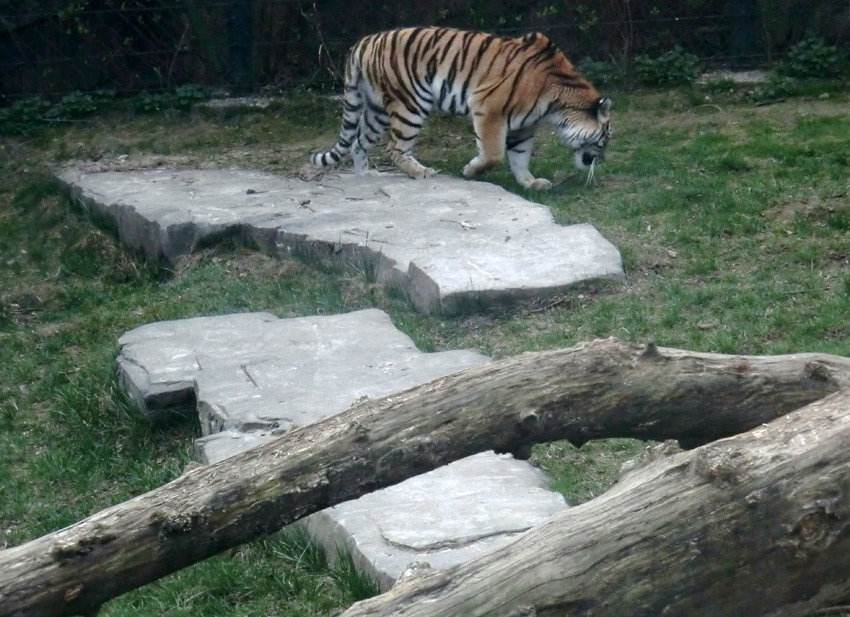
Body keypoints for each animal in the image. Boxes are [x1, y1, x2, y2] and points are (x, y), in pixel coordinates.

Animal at [310, 26, 608, 189]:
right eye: (605, 139)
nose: (602, 161)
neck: (556, 106)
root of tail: (362, 42)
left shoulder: (523, 128)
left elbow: (520, 158)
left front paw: (530, 183)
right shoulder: (489, 109)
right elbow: (493, 154)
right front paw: (470, 171)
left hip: (378, 111)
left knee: (358, 142)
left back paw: (367, 177)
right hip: (410, 104)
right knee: (394, 148)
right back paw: (421, 172)